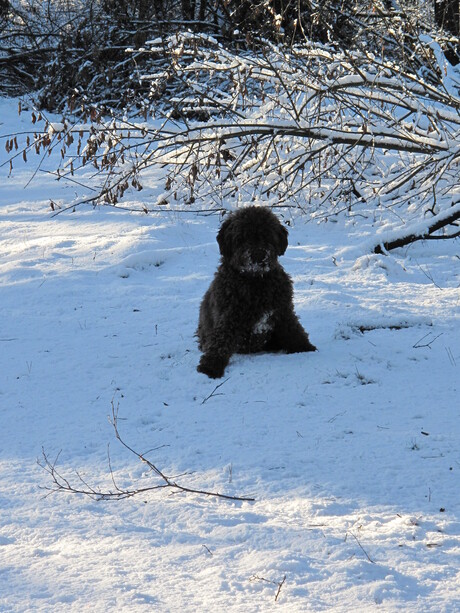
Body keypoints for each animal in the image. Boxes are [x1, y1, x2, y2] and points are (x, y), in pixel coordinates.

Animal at [198, 207, 316, 378]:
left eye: (267, 235)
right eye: (242, 237)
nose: (258, 254)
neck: (256, 283)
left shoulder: (283, 311)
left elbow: (294, 330)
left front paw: (305, 348)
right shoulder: (229, 317)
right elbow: (221, 341)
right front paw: (210, 366)